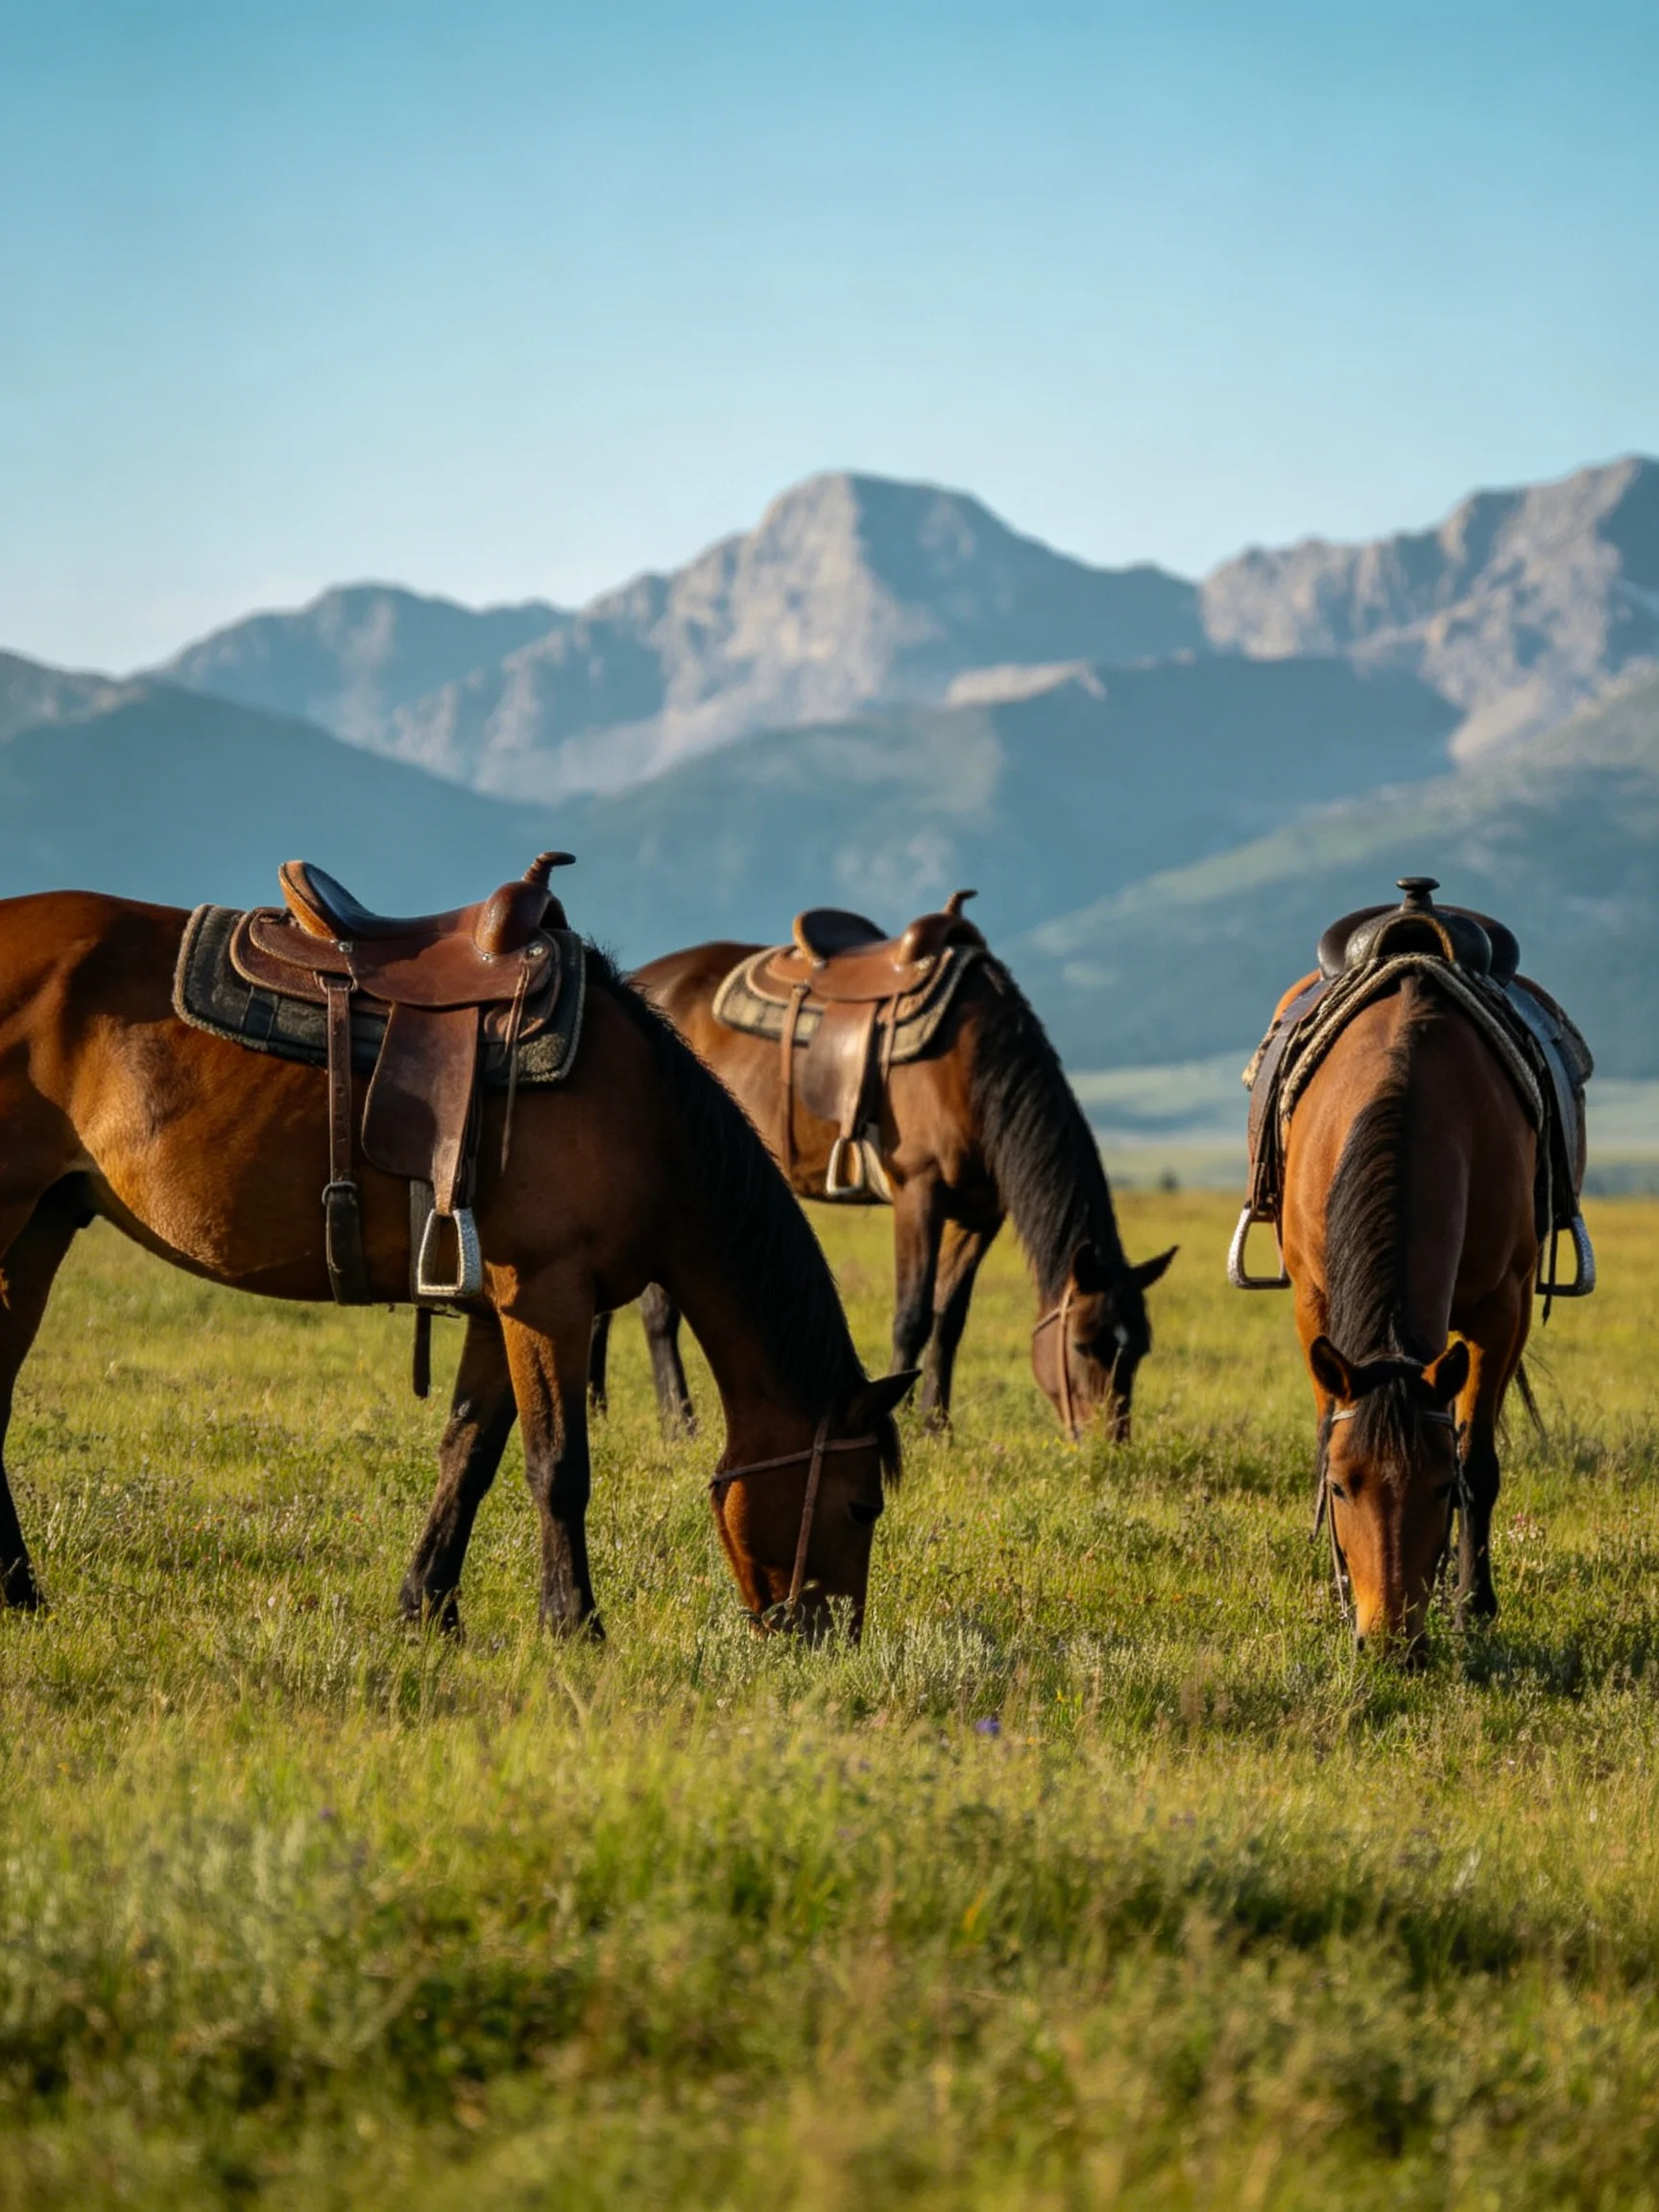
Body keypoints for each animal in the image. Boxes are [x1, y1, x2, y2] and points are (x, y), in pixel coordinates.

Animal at [0, 892, 913, 1637]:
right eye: (860, 1505)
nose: (828, 1640)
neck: (648, 1122)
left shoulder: (496, 1310)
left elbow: (467, 1459)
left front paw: (427, 1611)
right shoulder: (548, 1297)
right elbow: (558, 1468)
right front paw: (574, 1625)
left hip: (39, 1230)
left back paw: (21, 1594)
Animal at [589, 938, 1175, 1439]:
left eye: (1140, 1351)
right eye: (1082, 1345)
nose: (1109, 1442)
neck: (973, 1069)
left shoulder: (980, 1215)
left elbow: (948, 1319)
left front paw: (937, 1426)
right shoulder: (918, 1192)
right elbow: (911, 1316)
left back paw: (598, 1406)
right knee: (657, 1310)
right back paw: (678, 1423)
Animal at [1278, 972, 1540, 1649]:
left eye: (1441, 1488)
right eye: (1341, 1487)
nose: (1392, 1645)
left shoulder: (1501, 1308)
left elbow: (1479, 1462)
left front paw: (1473, 1606)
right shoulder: (1312, 1302)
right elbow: (1325, 1432)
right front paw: (1340, 1593)